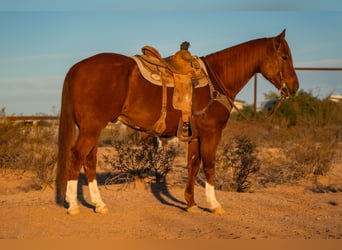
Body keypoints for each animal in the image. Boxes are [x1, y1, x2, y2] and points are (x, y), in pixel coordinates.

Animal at [55, 29, 296, 215]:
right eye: (284, 57)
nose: (295, 87)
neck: (216, 80)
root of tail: (77, 68)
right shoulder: (211, 133)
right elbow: (209, 166)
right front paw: (214, 204)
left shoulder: (195, 136)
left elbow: (193, 165)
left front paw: (190, 203)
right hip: (91, 128)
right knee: (77, 156)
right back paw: (74, 206)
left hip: (91, 128)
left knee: (90, 160)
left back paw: (99, 204)